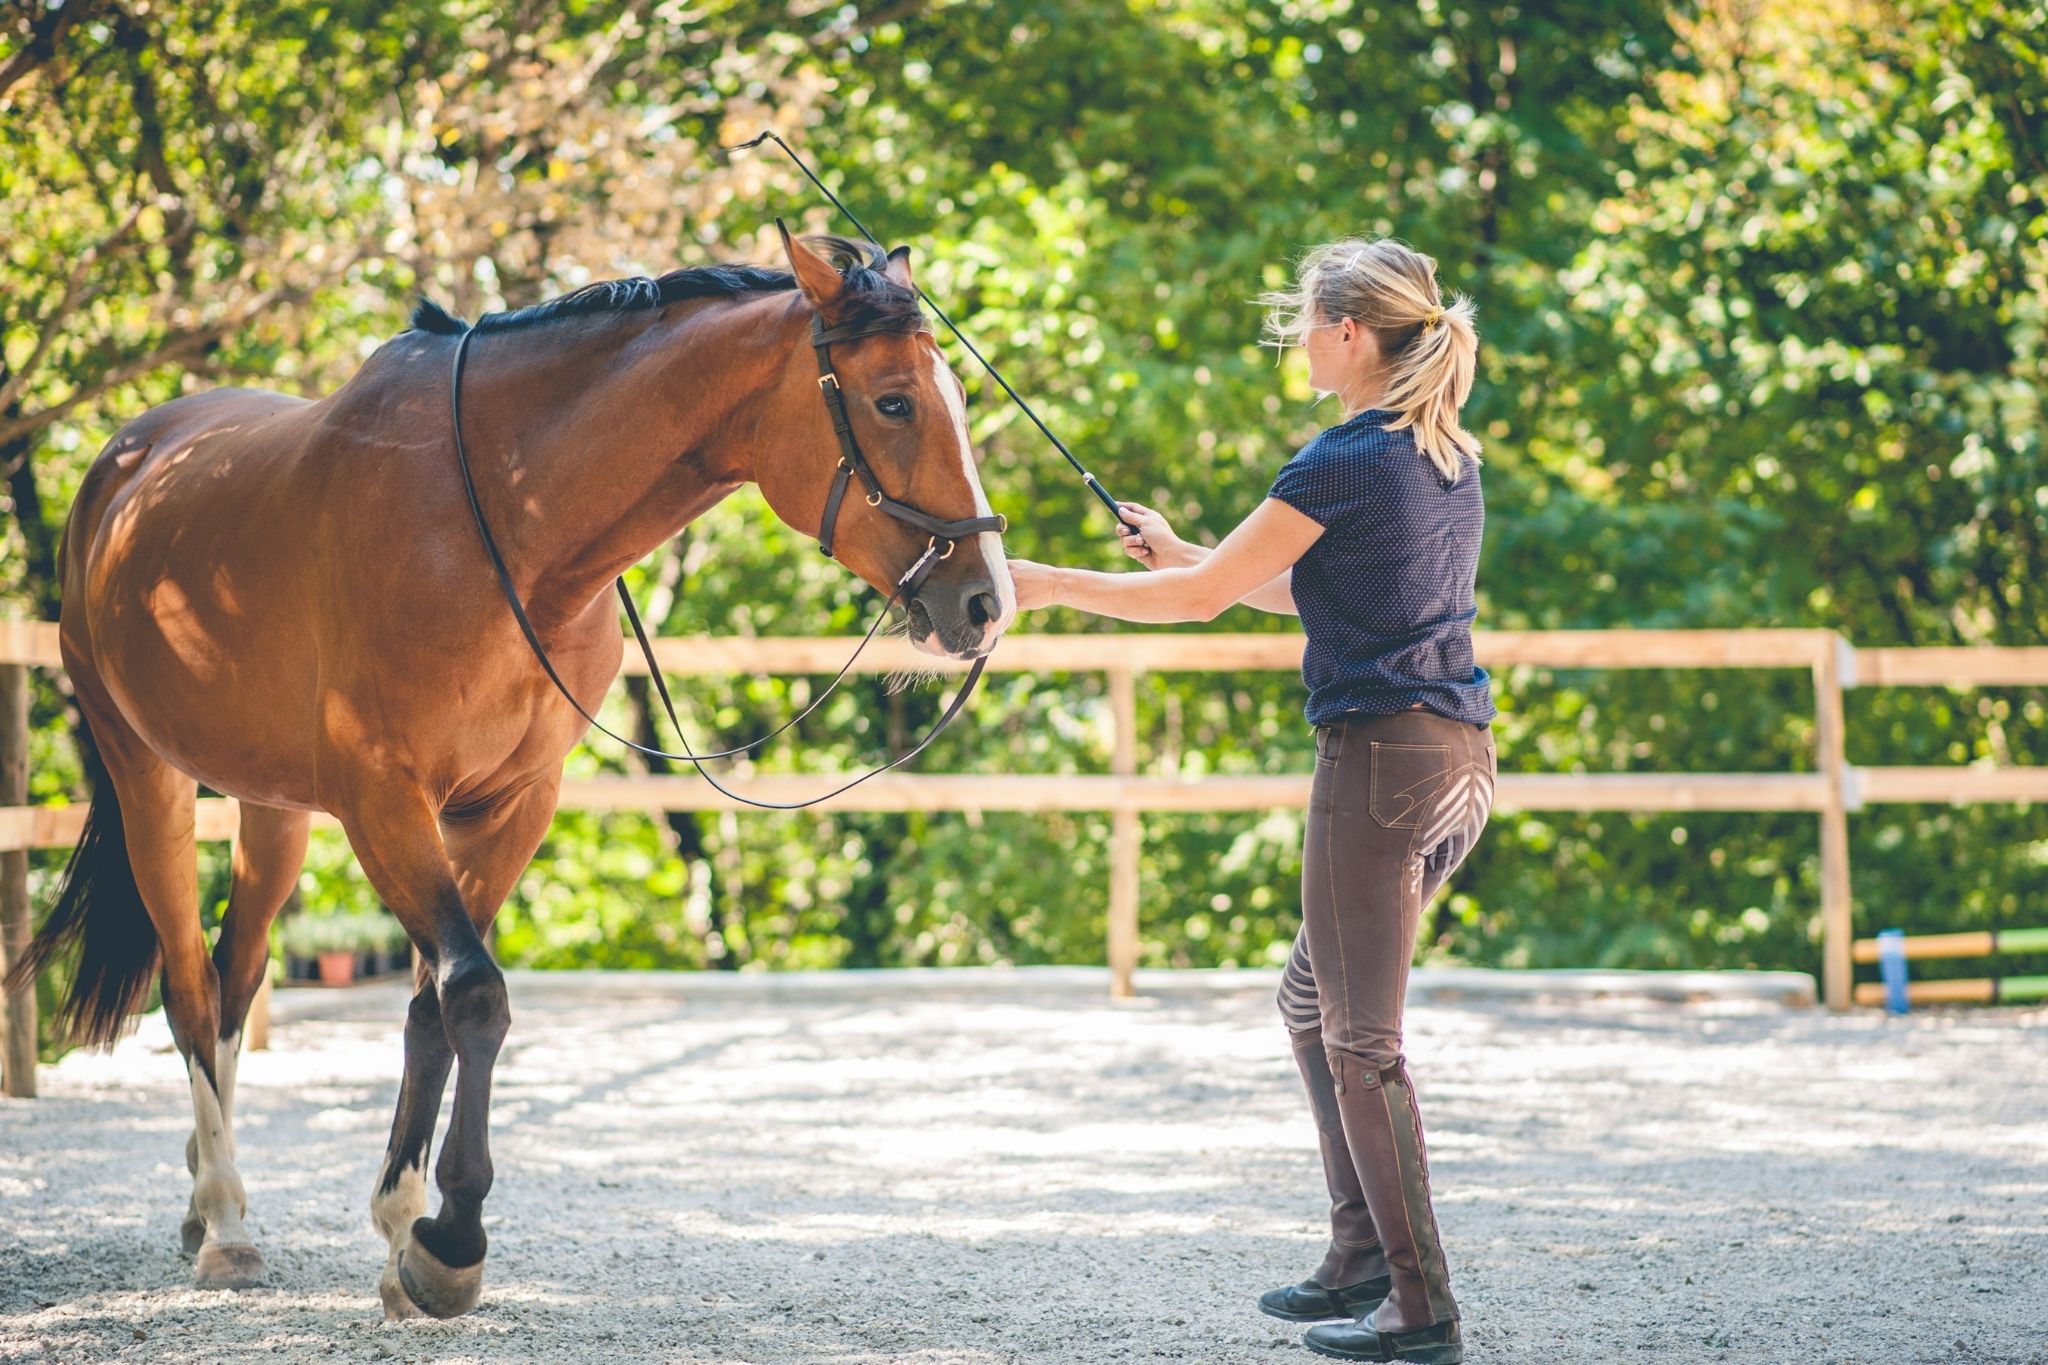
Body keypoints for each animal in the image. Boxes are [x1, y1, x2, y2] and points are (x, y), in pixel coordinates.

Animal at [4, 226, 1015, 1317]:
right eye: (893, 402)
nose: (983, 602)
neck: (499, 517)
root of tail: (122, 466)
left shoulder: (510, 805)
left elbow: (431, 1008)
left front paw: (403, 1231)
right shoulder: (385, 800)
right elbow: (474, 995)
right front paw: (449, 1243)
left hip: (270, 807)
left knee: (235, 978)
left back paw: (205, 1200)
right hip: (145, 772)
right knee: (191, 987)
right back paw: (226, 1223)